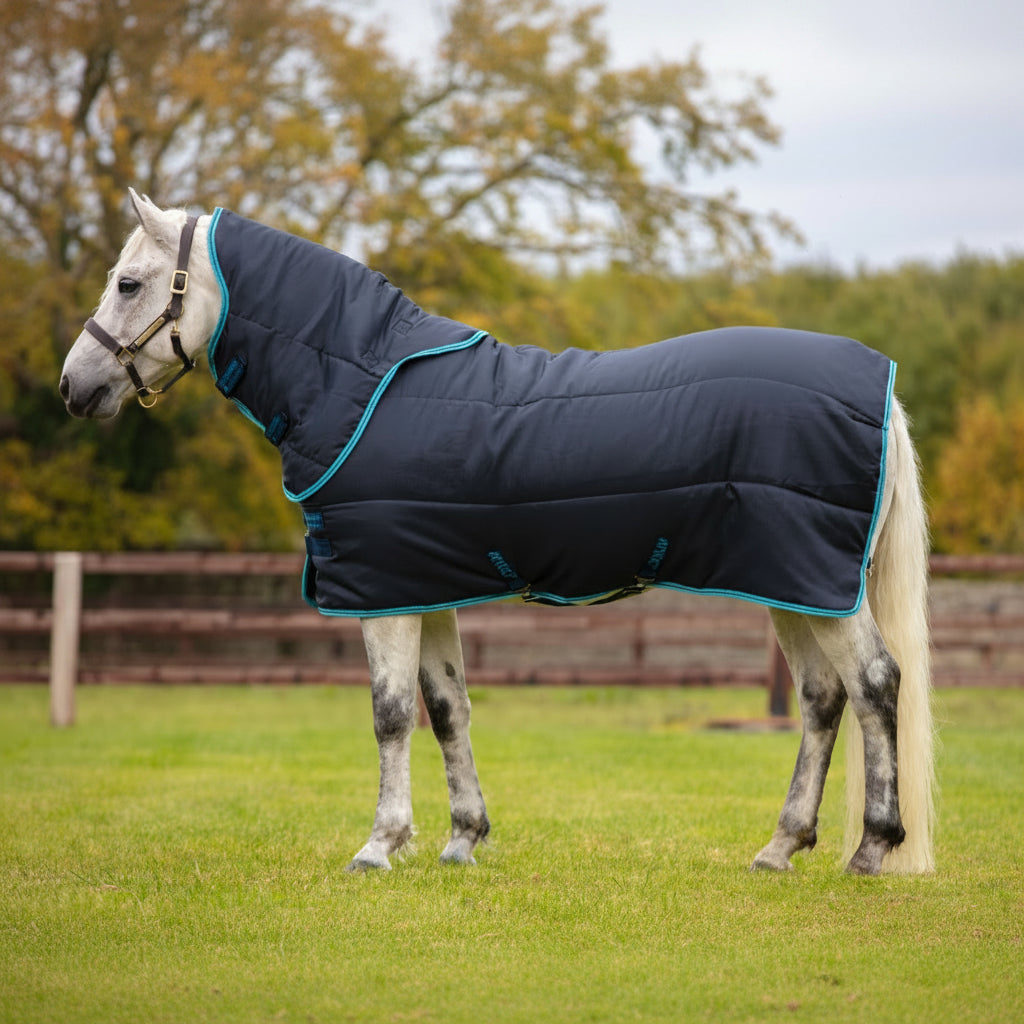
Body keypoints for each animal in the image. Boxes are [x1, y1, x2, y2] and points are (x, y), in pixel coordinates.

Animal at [60, 190, 935, 875]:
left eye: (129, 283)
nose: (74, 386)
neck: (358, 381)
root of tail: (883, 389)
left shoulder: (382, 594)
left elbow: (390, 713)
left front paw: (379, 845)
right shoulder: (422, 586)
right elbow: (448, 709)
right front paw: (461, 840)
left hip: (813, 584)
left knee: (874, 684)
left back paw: (872, 848)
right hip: (791, 584)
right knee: (823, 698)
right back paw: (781, 847)